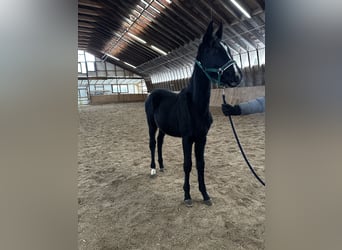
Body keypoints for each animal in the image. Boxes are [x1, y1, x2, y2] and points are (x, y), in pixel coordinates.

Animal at [146, 21, 242, 205]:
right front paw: (187, 196)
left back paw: (161, 166)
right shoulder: (187, 138)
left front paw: (205, 195)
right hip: (151, 124)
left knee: (160, 142)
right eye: (214, 50)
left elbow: (200, 164)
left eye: (228, 48)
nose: (237, 75)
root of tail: (153, 93)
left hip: (163, 127)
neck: (196, 106)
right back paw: (153, 169)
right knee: (153, 143)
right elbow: (187, 164)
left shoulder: (202, 138)